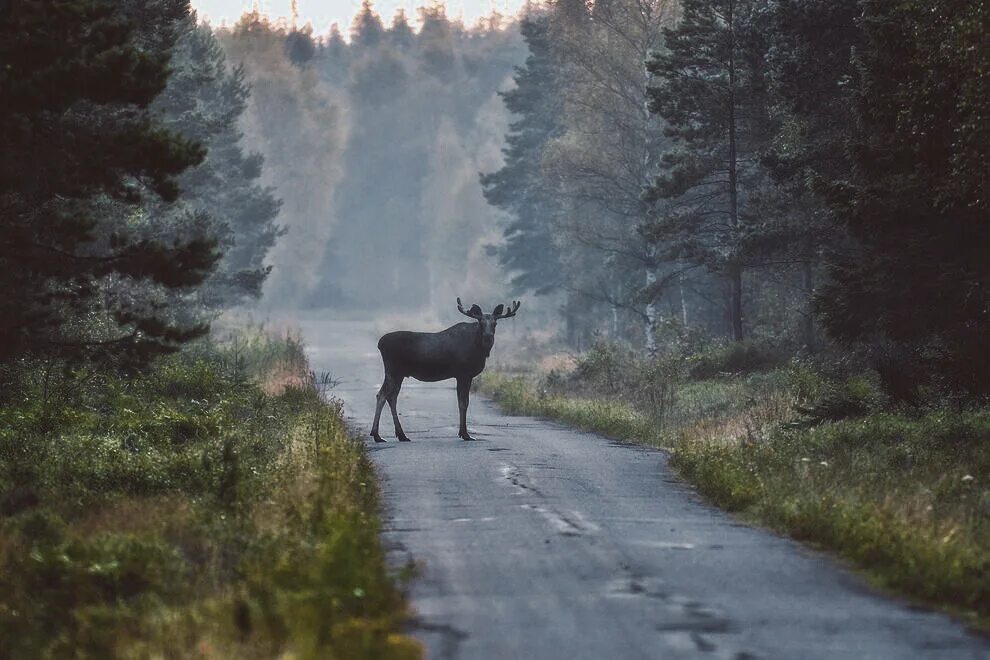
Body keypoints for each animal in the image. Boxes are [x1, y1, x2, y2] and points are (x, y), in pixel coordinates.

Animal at [372, 300, 524, 444]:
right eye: (481, 322)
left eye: (495, 323)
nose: (488, 336)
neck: (479, 349)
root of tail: (380, 344)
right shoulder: (464, 374)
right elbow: (463, 403)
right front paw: (465, 434)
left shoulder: (462, 376)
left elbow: (462, 402)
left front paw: (463, 433)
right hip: (393, 371)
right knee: (384, 395)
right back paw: (379, 435)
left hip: (399, 374)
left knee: (388, 396)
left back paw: (397, 435)